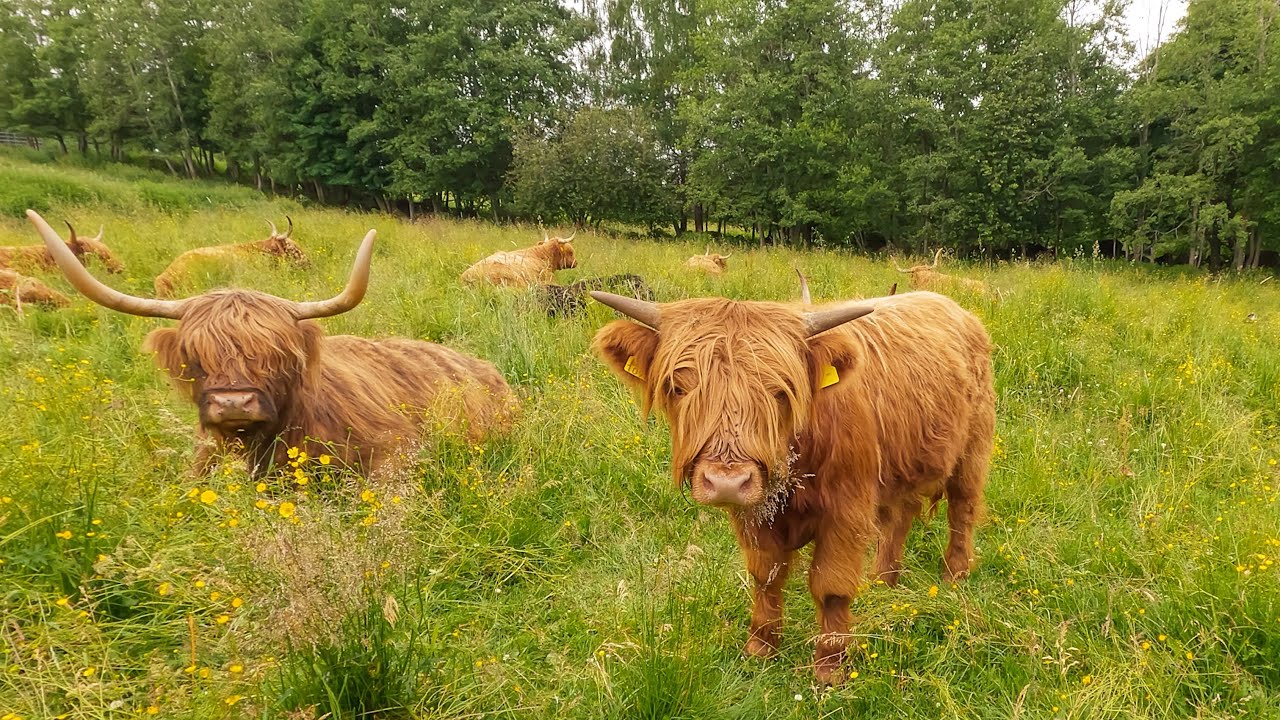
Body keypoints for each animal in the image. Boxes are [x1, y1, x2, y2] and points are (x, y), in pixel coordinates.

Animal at [589, 289, 994, 684]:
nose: (726, 482)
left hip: (972, 450)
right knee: (900, 515)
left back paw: (954, 574)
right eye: (677, 387)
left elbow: (831, 585)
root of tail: (951, 305)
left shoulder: (846, 512)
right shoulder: (753, 514)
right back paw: (883, 580)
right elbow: (765, 575)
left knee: (962, 509)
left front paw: (830, 667)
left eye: (780, 392)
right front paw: (760, 646)